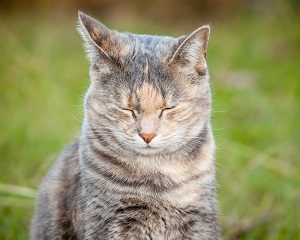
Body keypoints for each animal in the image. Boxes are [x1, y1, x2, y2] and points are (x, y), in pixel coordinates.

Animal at [30, 10, 221, 239]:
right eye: (126, 109)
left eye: (168, 108)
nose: (148, 135)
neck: (157, 180)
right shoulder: (108, 220)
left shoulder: (200, 220)